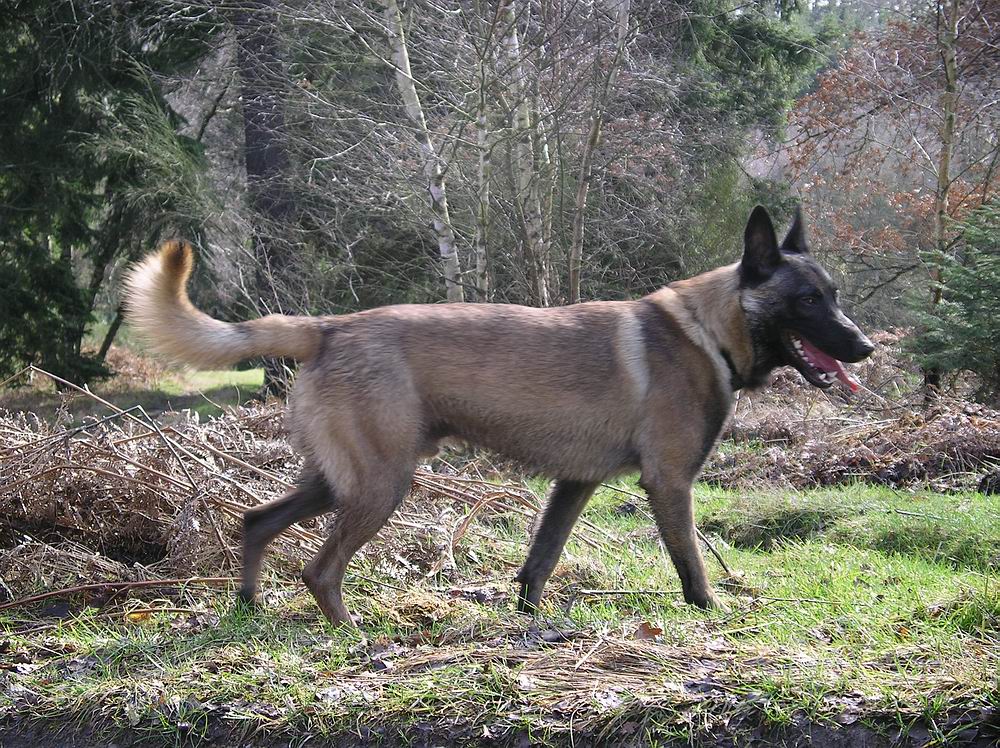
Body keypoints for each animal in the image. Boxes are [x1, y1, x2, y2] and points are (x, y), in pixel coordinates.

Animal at [125, 205, 876, 624]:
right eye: (809, 300)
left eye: (836, 295)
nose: (865, 347)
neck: (709, 329)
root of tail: (330, 327)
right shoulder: (668, 483)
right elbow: (690, 562)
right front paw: (712, 611)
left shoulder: (575, 485)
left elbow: (540, 560)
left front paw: (528, 616)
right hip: (380, 485)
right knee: (320, 569)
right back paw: (350, 629)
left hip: (336, 480)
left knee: (256, 523)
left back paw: (249, 608)